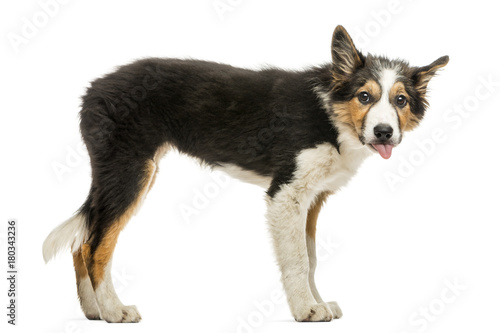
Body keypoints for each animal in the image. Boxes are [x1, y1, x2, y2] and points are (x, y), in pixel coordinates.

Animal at [43, 25, 450, 322]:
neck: (331, 116)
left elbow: (312, 257)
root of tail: (93, 89)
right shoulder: (285, 193)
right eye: (364, 96)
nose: (384, 132)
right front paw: (306, 309)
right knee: (96, 245)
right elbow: (299, 260)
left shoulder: (312, 198)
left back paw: (94, 311)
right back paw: (114, 311)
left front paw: (318, 302)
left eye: (400, 101)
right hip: (130, 170)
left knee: (83, 240)